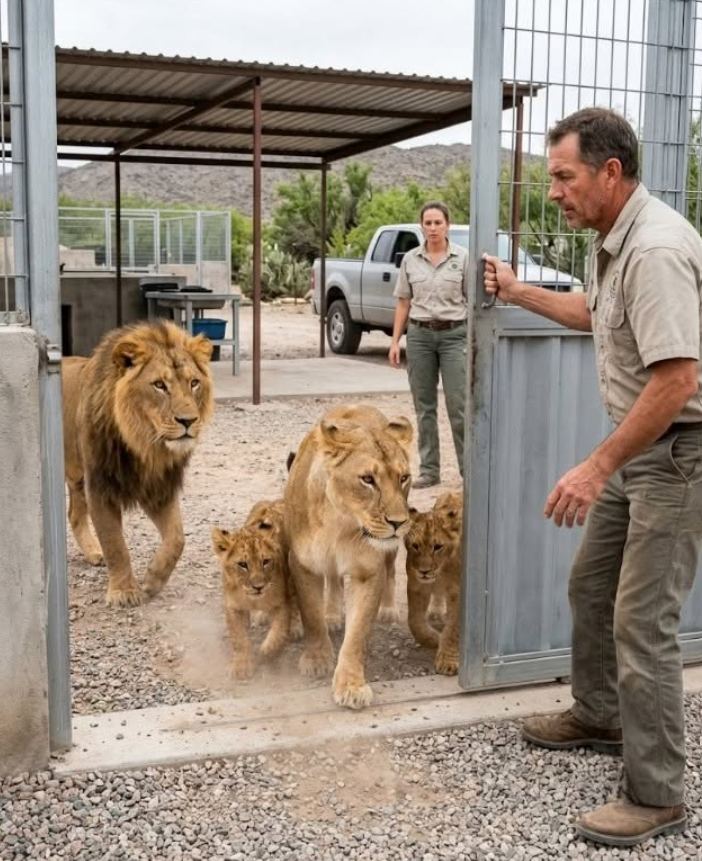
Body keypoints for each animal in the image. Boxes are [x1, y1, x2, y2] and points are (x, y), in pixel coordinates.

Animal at [62, 320, 214, 607]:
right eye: (159, 385)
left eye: (194, 382)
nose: (188, 421)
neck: (144, 445)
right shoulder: (100, 486)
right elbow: (115, 543)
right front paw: (124, 592)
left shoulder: (159, 488)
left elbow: (177, 539)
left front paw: (153, 579)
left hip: (77, 477)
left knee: (74, 515)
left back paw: (93, 553)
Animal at [212, 511, 294, 679]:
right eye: (242, 564)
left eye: (266, 561)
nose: (258, 587)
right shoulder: (234, 607)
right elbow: (239, 637)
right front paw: (241, 666)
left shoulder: (283, 602)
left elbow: (280, 632)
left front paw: (267, 652)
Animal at [284, 404, 413, 709]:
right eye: (367, 480)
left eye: (403, 478)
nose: (399, 522)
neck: (340, 522)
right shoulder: (302, 564)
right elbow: (311, 614)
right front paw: (317, 658)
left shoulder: (368, 572)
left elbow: (357, 634)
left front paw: (351, 685)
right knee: (333, 578)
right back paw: (332, 615)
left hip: (389, 553)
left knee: (391, 571)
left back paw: (388, 610)